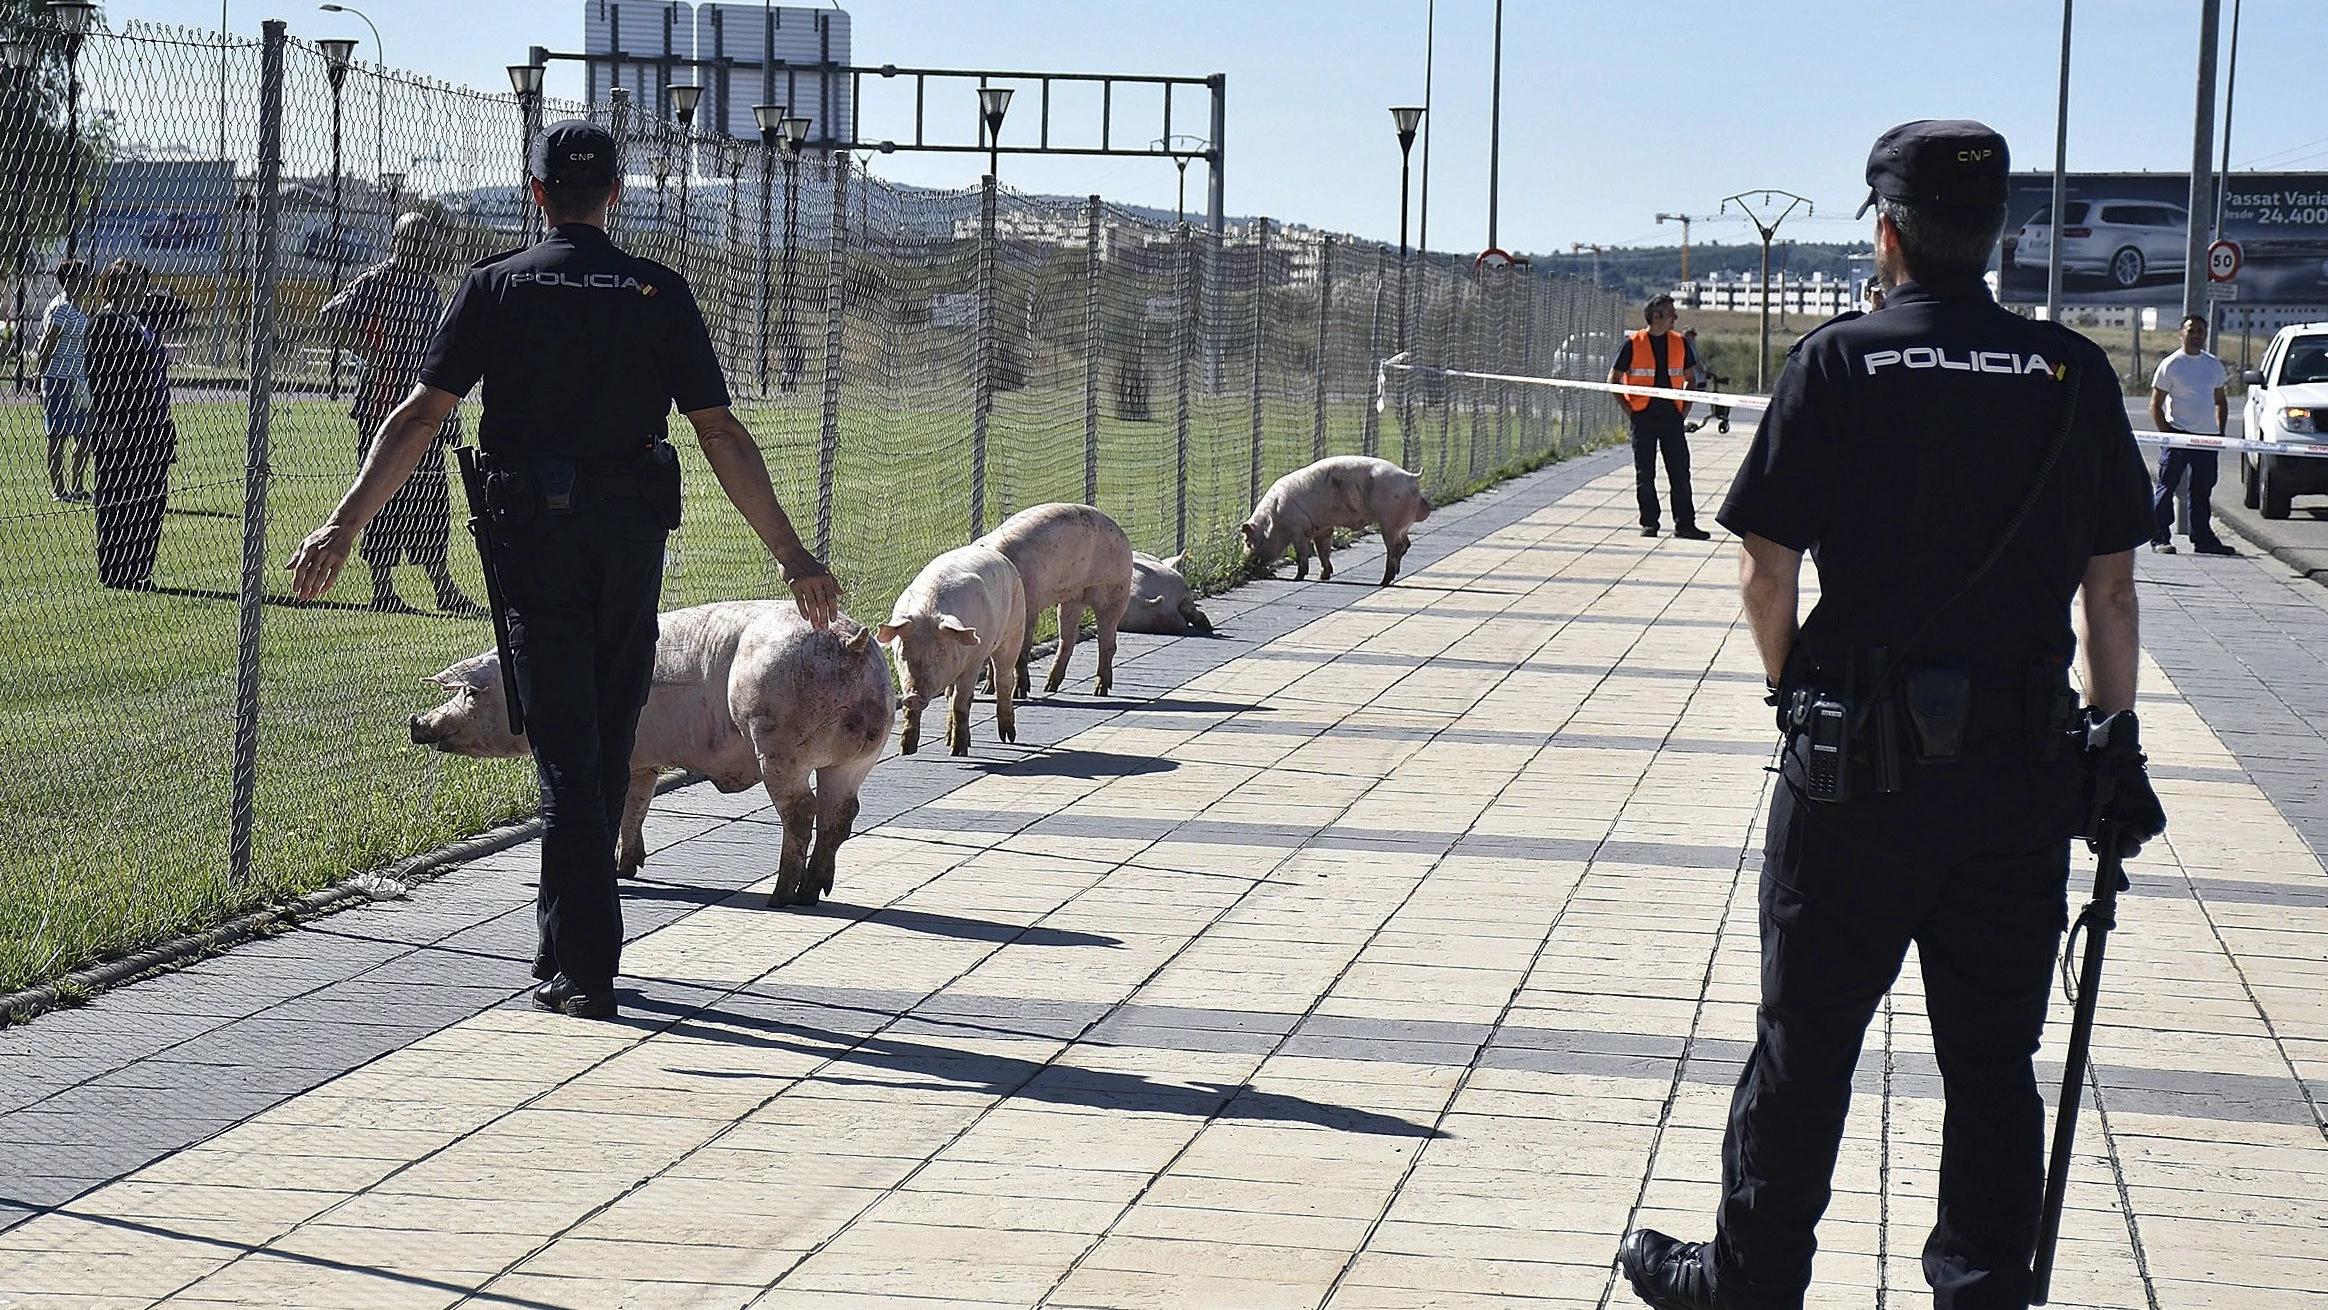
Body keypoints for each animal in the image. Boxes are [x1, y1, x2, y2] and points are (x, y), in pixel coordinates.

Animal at [409, 600, 889, 907]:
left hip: (777, 744)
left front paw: (618, 872)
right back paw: (812, 893)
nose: (416, 722)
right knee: (841, 812)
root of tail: (850, 644)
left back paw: (780, 897)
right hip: (857, 758)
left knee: (801, 810)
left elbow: (623, 809)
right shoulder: (643, 759)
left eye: (471, 694)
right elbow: (637, 807)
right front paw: (628, 868)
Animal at [875, 546, 1024, 758]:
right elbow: (915, 709)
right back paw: (947, 739)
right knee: (950, 696)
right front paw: (906, 751)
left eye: (940, 651)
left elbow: (960, 703)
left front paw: (957, 752)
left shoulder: (974, 661)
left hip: (1014, 630)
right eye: (904, 650)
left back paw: (1007, 737)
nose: (914, 696)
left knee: (1003, 680)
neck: (928, 611)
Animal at [973, 500, 1136, 698]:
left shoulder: (1030, 604)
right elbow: (995, 656)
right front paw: (987, 691)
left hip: (1115, 589)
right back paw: (1049, 687)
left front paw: (1019, 694)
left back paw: (1099, 691)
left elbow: (1021, 652)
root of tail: (1123, 534)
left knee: (1108, 643)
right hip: (1072, 599)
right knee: (1068, 639)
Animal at [1238, 458, 1434, 586]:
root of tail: (1410, 476)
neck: (1274, 518)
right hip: (1401, 523)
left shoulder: (1298, 527)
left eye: (1248, 541)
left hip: (1389, 520)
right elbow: (1323, 550)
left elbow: (1303, 552)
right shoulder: (1322, 527)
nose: (1244, 562)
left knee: (1395, 547)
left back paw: (1384, 581)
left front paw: (1297, 578)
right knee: (1406, 544)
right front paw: (1323, 577)